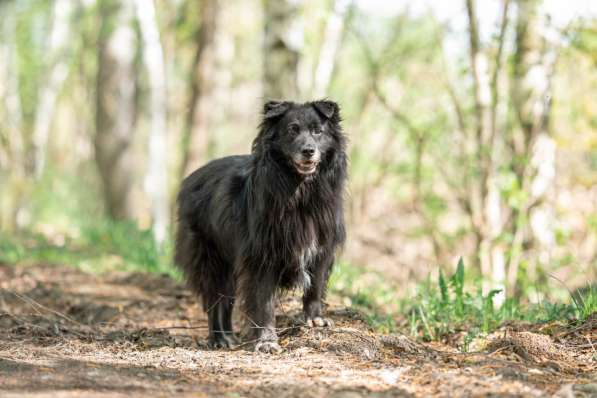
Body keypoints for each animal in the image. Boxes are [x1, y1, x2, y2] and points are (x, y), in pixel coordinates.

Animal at [173, 99, 344, 352]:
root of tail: (190, 179)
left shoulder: (322, 248)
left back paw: (229, 337)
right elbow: (263, 301)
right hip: (210, 259)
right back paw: (219, 338)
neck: (300, 192)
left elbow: (316, 285)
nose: (308, 151)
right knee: (215, 301)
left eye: (317, 131)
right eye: (292, 130)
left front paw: (315, 319)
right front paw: (266, 340)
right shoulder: (262, 256)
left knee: (227, 301)